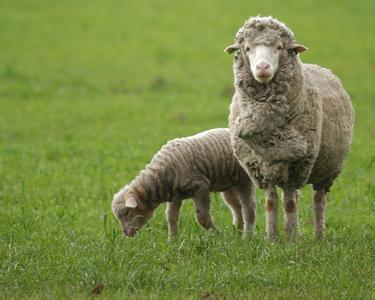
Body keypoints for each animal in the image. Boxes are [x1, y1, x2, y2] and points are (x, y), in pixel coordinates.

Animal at [111, 129, 258, 239]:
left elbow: (202, 218)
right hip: (229, 184)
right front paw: (172, 241)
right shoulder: (175, 195)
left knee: (248, 207)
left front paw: (220, 235)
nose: (126, 234)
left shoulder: (201, 187)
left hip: (244, 179)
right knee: (236, 207)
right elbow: (171, 217)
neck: (159, 177)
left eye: (127, 212)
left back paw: (246, 236)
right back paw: (237, 233)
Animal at [226, 17, 356, 241]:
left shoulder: (297, 166)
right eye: (247, 48)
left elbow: (289, 204)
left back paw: (318, 236)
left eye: (279, 47)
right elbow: (271, 203)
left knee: (318, 200)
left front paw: (292, 240)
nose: (262, 67)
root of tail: (321, 68)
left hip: (326, 170)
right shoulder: (262, 167)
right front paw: (272, 239)